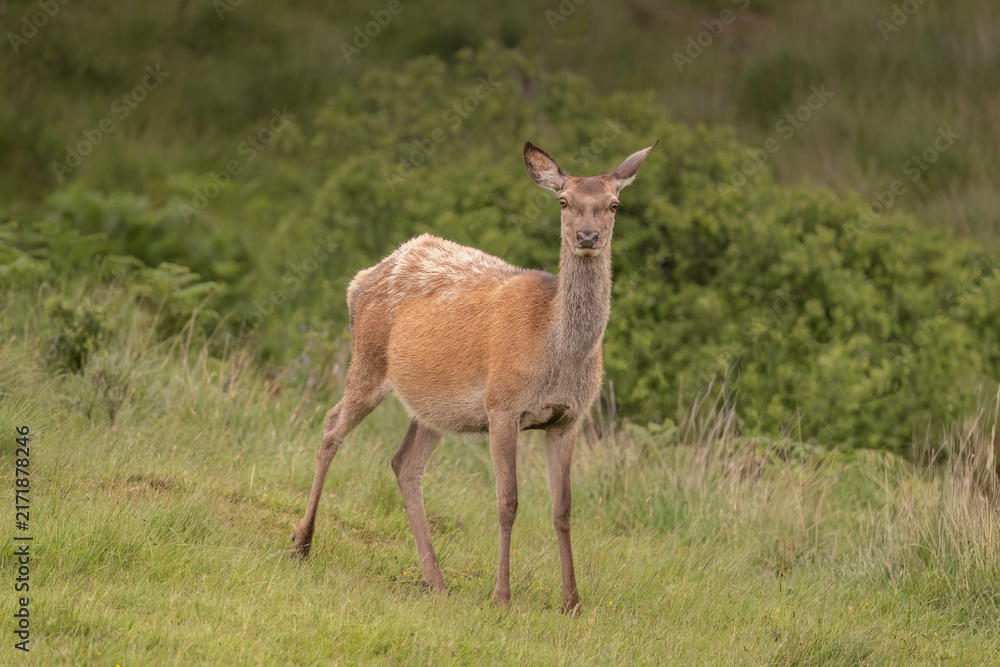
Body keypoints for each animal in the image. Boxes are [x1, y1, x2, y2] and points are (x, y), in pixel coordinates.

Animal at [291, 139, 657, 613]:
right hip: (367, 362)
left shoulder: (569, 418)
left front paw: (572, 603)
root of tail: (360, 280)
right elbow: (508, 501)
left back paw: (436, 580)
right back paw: (302, 543)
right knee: (332, 425)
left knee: (404, 463)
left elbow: (563, 509)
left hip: (432, 405)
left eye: (614, 204)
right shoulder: (502, 405)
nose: (587, 237)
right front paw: (502, 595)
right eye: (563, 201)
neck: (554, 348)